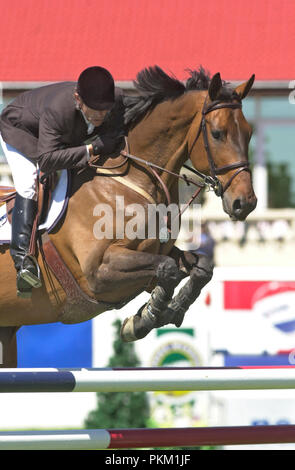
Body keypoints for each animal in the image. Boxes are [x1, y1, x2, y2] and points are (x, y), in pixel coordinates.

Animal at [0, 66, 256, 368]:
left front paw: (164, 310)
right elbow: (168, 268)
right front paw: (145, 318)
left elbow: (200, 266)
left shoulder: (156, 252)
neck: (134, 181)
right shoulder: (98, 272)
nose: (245, 203)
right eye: (217, 134)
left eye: (249, 133)